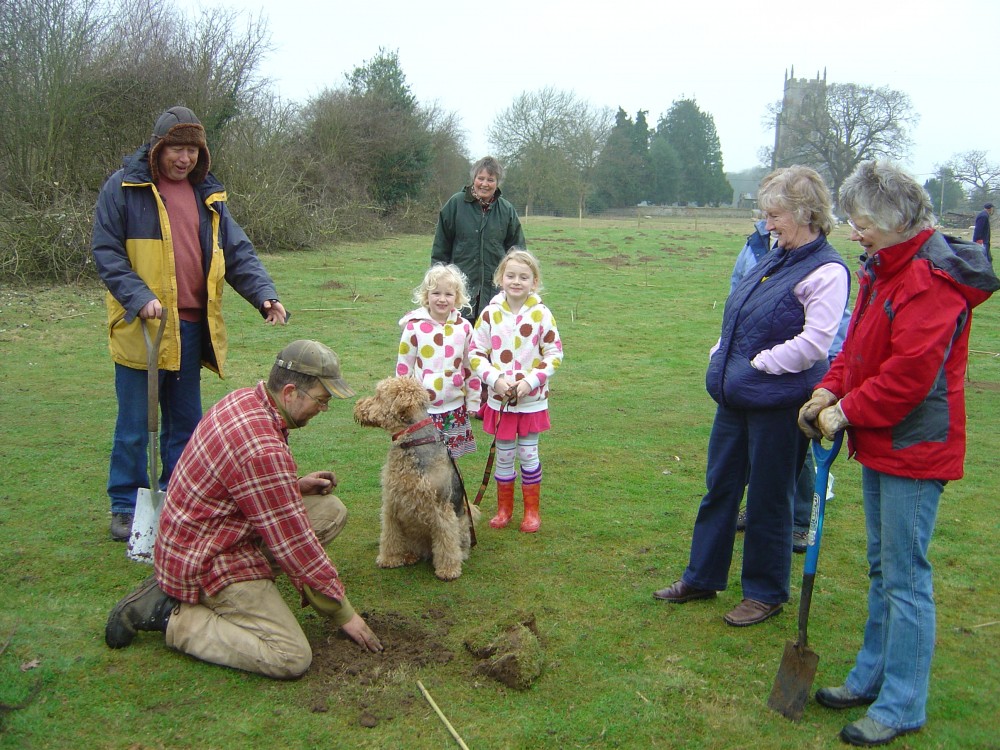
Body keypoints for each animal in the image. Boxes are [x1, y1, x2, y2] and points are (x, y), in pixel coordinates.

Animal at [354, 378, 478, 584]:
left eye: (379, 395)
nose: (357, 406)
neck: (411, 442)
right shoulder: (391, 503)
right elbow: (389, 536)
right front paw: (389, 559)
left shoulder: (441, 508)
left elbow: (446, 541)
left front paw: (448, 570)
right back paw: (409, 556)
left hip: (461, 521)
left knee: (458, 546)